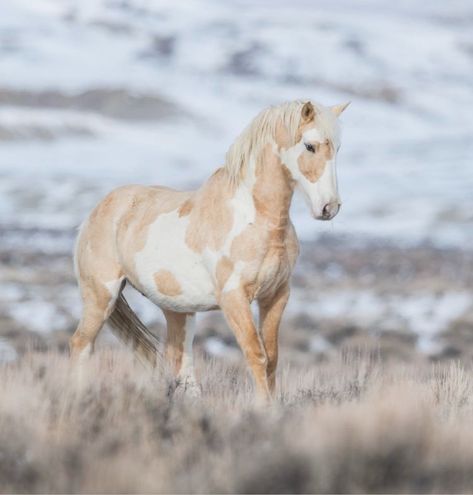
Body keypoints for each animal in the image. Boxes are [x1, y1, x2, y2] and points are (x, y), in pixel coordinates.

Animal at [72, 100, 348, 400]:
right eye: (310, 146)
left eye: (338, 148)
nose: (329, 208)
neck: (254, 219)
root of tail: (94, 214)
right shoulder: (233, 298)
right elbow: (256, 354)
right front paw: (264, 407)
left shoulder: (276, 295)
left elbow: (272, 357)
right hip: (101, 296)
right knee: (81, 345)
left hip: (178, 310)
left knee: (180, 362)